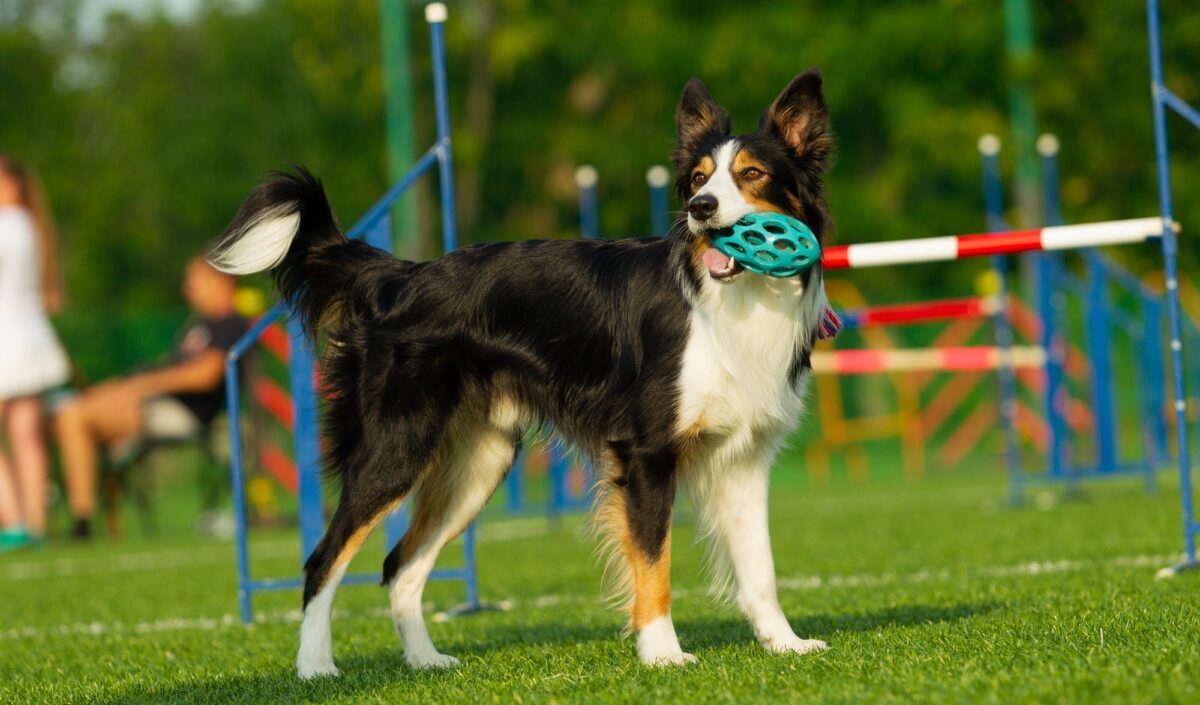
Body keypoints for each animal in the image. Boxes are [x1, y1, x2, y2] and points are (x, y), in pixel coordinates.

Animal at [208, 67, 835, 676]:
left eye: (751, 173)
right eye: (700, 177)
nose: (700, 208)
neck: (734, 299)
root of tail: (404, 277)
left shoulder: (746, 459)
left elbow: (761, 568)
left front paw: (784, 644)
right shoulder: (646, 454)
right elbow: (654, 563)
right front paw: (662, 654)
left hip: (479, 461)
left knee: (399, 564)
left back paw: (425, 660)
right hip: (397, 448)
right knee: (324, 559)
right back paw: (315, 666)